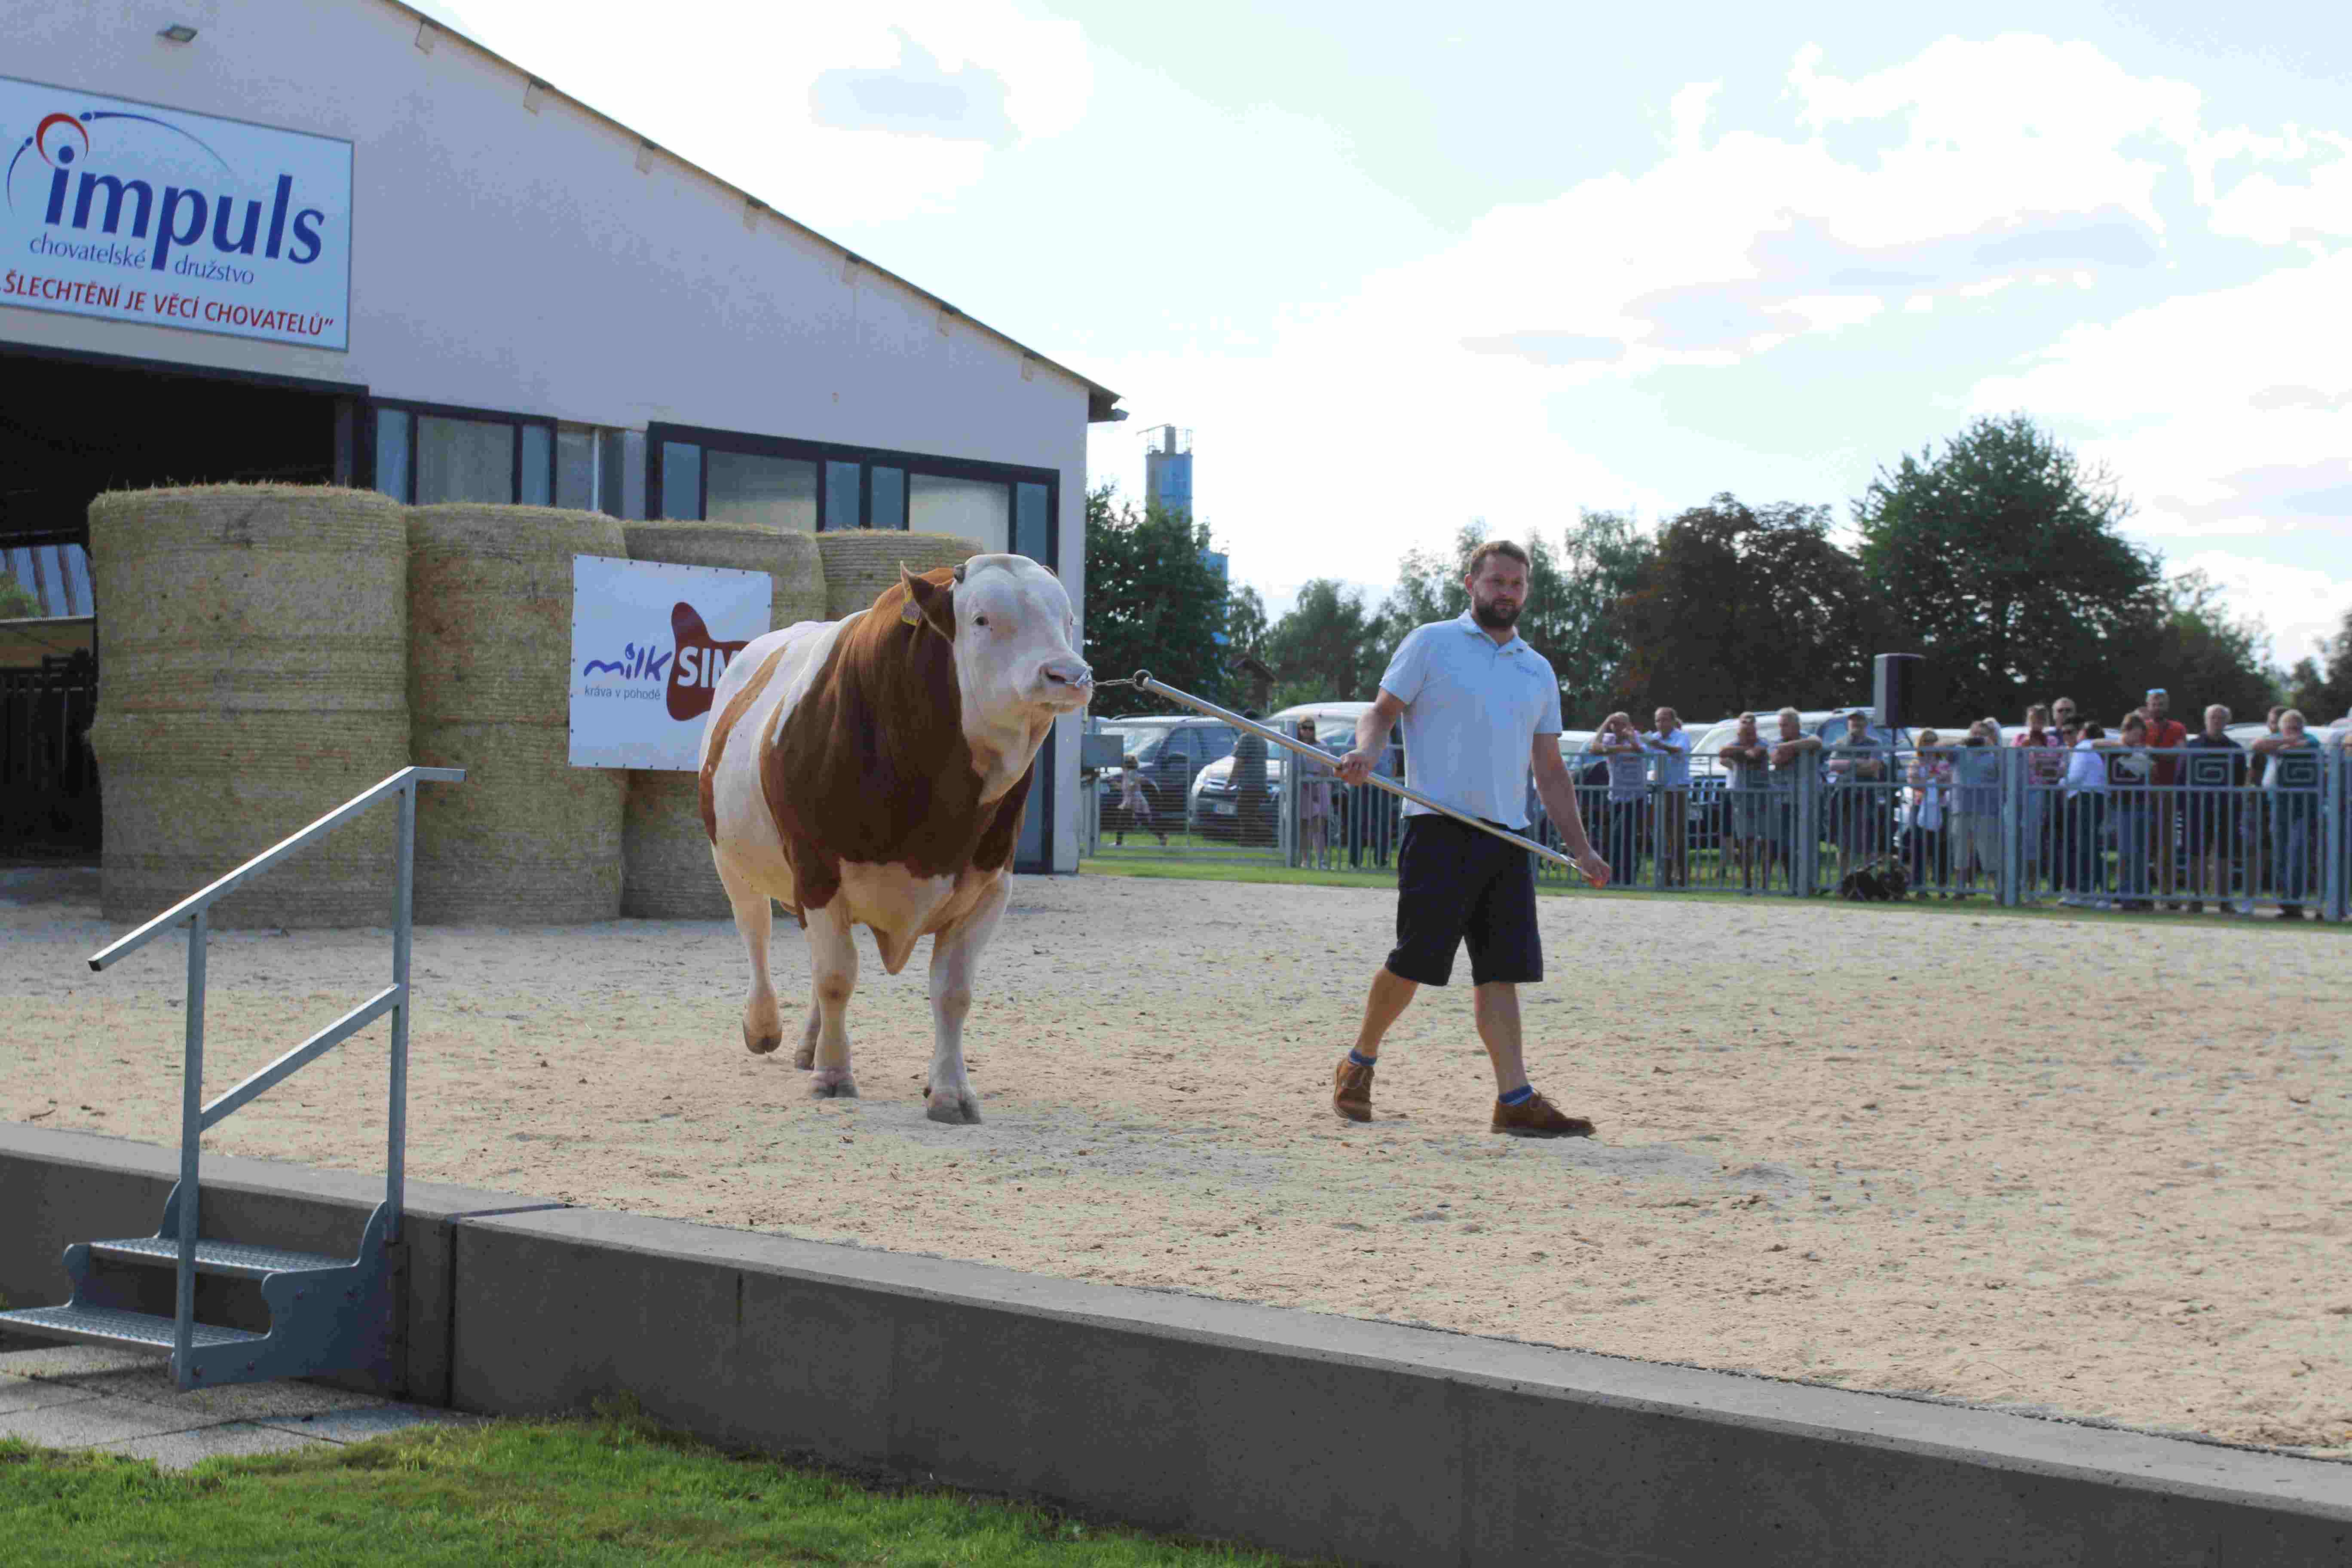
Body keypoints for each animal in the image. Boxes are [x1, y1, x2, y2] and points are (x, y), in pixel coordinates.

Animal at [697, 554, 1092, 1123]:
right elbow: (836, 975)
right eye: (981, 620)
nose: (1070, 674)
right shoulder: (817, 871)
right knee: (756, 932)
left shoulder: (991, 885)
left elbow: (952, 991)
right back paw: (764, 1025)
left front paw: (950, 1091)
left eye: (1068, 620)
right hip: (733, 860)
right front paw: (834, 1076)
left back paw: (810, 1043)